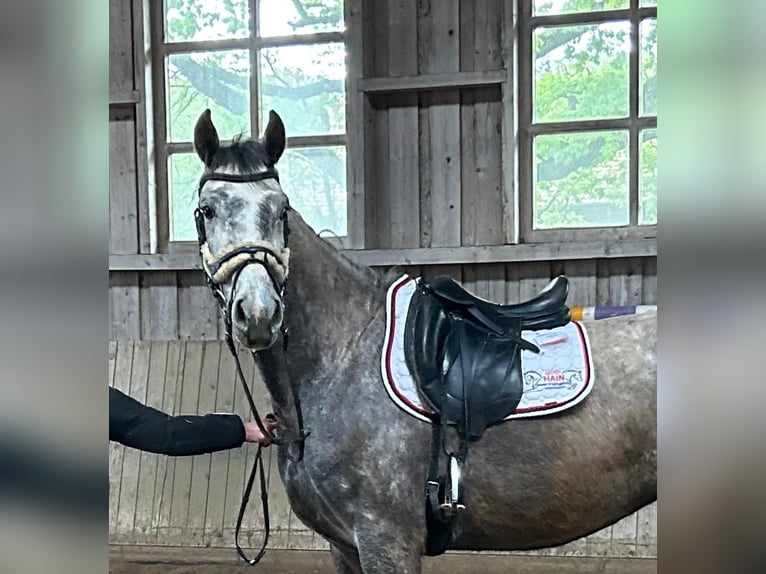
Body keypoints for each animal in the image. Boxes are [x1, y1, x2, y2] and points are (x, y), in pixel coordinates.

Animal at [192, 109, 660, 574]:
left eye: (281, 209)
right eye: (207, 211)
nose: (258, 312)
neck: (341, 357)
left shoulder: (386, 540)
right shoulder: (344, 547)